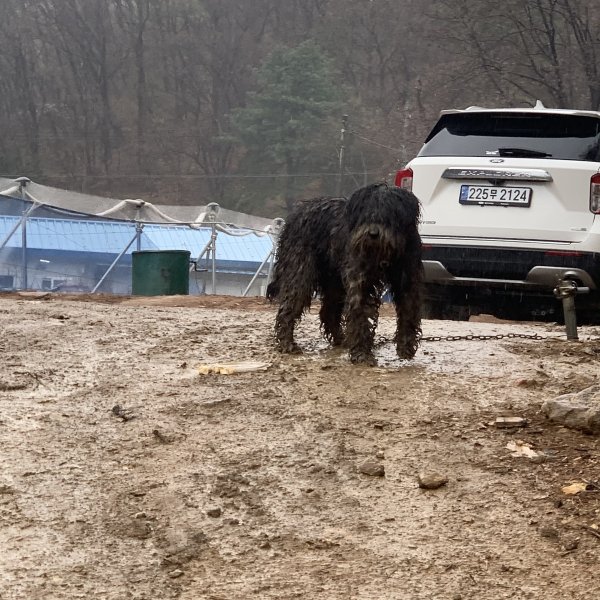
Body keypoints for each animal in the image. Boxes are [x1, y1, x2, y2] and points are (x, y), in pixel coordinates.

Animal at [268, 180, 422, 364]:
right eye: (365, 213)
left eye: (388, 213)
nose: (372, 234)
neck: (385, 253)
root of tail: (295, 215)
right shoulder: (360, 281)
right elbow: (360, 314)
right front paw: (362, 353)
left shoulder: (408, 279)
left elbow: (408, 311)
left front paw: (406, 348)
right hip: (300, 270)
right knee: (289, 304)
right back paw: (287, 342)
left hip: (334, 280)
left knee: (328, 311)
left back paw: (342, 339)